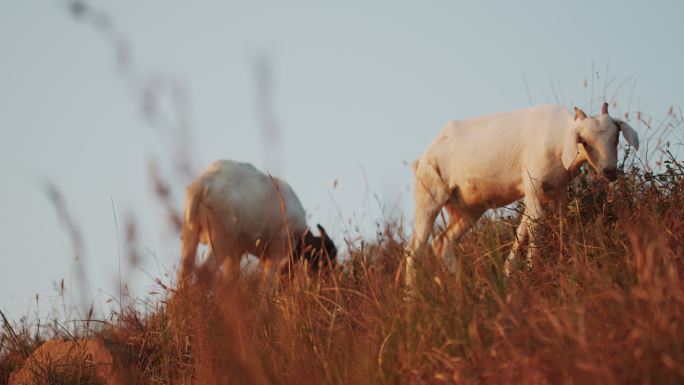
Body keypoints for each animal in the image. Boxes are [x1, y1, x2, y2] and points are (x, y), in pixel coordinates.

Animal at [178, 159, 336, 284]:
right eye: (328, 254)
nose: (330, 279)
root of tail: (202, 184)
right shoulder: (276, 253)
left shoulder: (236, 253)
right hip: (220, 240)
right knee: (205, 271)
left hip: (190, 235)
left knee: (184, 270)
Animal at [404, 101, 640, 282]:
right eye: (583, 140)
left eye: (616, 136)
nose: (609, 171)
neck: (557, 139)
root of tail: (423, 157)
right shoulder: (533, 186)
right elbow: (536, 227)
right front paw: (531, 269)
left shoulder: (552, 192)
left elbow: (533, 227)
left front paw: (511, 271)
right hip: (429, 198)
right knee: (415, 250)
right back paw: (411, 298)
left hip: (469, 209)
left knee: (442, 242)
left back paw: (460, 283)